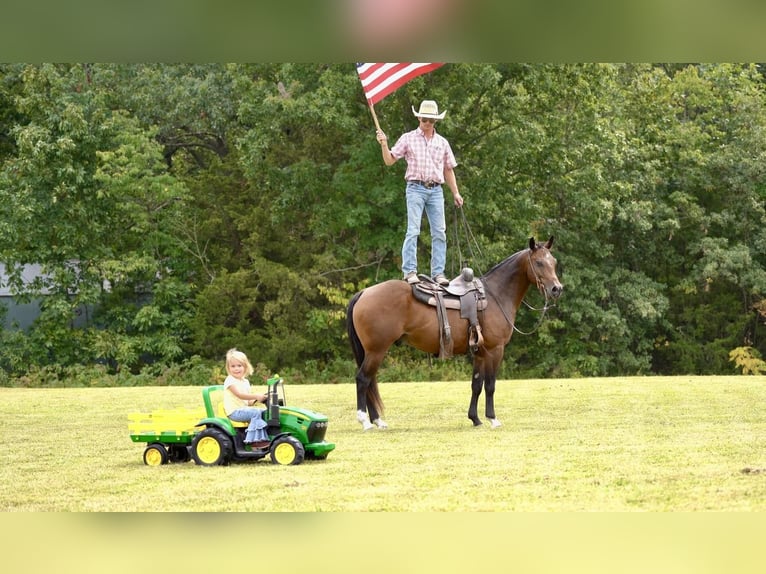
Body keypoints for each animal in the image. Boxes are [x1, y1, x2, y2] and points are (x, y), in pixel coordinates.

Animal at [348, 236, 564, 430]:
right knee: (363, 379)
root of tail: (364, 292)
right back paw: (365, 421)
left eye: (553, 262)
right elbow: (490, 385)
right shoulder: (495, 349)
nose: (557, 289)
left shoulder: (480, 352)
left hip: (372, 352)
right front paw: (492, 418)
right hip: (377, 350)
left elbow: (476, 384)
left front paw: (475, 419)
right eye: (538, 262)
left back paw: (377, 420)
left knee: (369, 382)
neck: (495, 295)